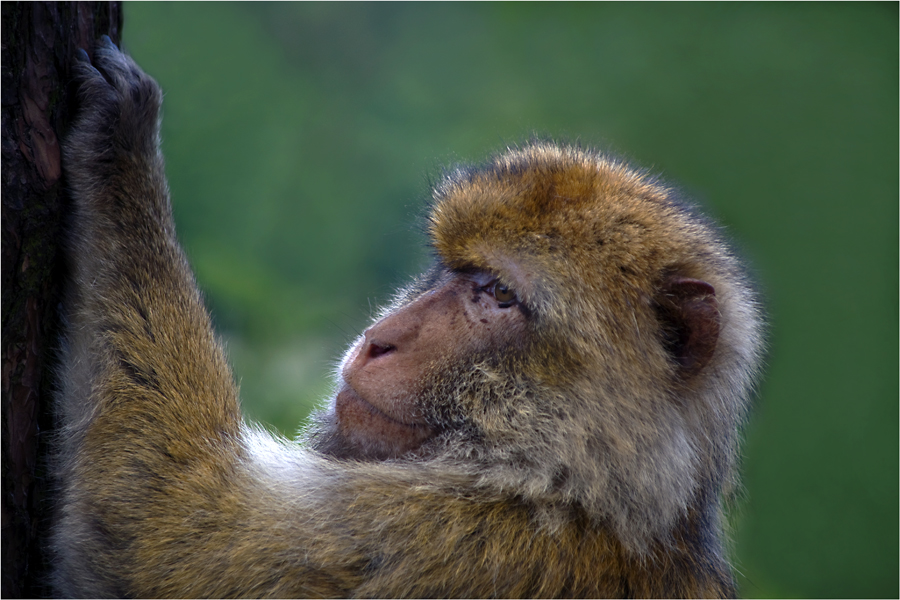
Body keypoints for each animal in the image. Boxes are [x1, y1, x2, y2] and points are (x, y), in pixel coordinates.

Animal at [52, 38, 764, 600]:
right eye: (451, 271)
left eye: (498, 294)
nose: (379, 341)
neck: (583, 494)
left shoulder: (440, 535)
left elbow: (159, 522)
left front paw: (122, 156)